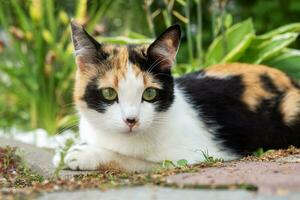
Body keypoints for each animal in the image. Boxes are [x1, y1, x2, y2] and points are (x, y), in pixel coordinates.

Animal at [53, 21, 300, 172]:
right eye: (108, 93)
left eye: (150, 93)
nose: (131, 120)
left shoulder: (197, 155)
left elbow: (135, 160)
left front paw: (82, 154)